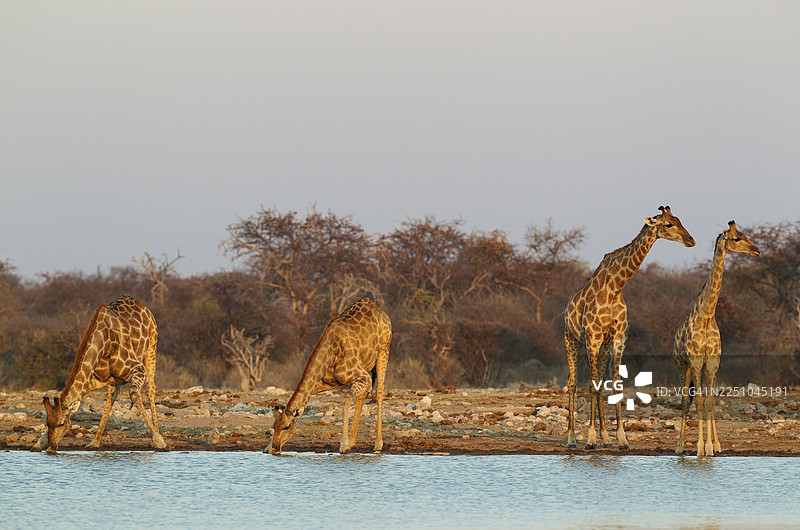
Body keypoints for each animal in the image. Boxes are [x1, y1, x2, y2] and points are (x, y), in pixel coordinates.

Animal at [36, 295, 166, 453]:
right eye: (47, 423)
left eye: (61, 423)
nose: (51, 447)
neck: (104, 342)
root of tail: (141, 304)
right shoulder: (96, 379)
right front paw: (39, 443)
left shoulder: (138, 368)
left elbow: (134, 394)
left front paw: (159, 440)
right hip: (113, 379)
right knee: (113, 394)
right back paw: (95, 441)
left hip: (152, 346)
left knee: (150, 389)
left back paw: (158, 435)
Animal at [269, 298, 391, 455]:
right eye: (274, 426)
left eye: (287, 426)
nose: (275, 448)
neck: (332, 350)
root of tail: (378, 309)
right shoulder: (328, 382)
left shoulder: (363, 376)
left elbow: (346, 399)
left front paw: (343, 444)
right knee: (364, 394)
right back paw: (353, 442)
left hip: (384, 350)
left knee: (380, 391)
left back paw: (377, 445)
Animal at [564, 206, 695, 449]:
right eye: (668, 224)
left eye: (679, 220)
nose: (691, 240)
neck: (615, 287)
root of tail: (568, 305)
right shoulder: (592, 338)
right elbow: (591, 385)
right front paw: (590, 439)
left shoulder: (618, 338)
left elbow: (615, 384)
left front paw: (621, 438)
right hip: (572, 340)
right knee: (572, 382)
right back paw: (571, 438)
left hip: (602, 346)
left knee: (599, 384)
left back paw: (605, 438)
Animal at [673, 221, 760, 457]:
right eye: (737, 238)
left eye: (745, 234)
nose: (756, 250)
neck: (706, 315)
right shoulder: (695, 361)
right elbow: (699, 402)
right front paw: (700, 447)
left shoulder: (712, 362)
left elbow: (710, 402)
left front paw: (712, 447)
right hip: (681, 365)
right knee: (685, 400)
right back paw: (680, 446)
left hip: (703, 368)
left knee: (704, 399)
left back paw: (714, 444)